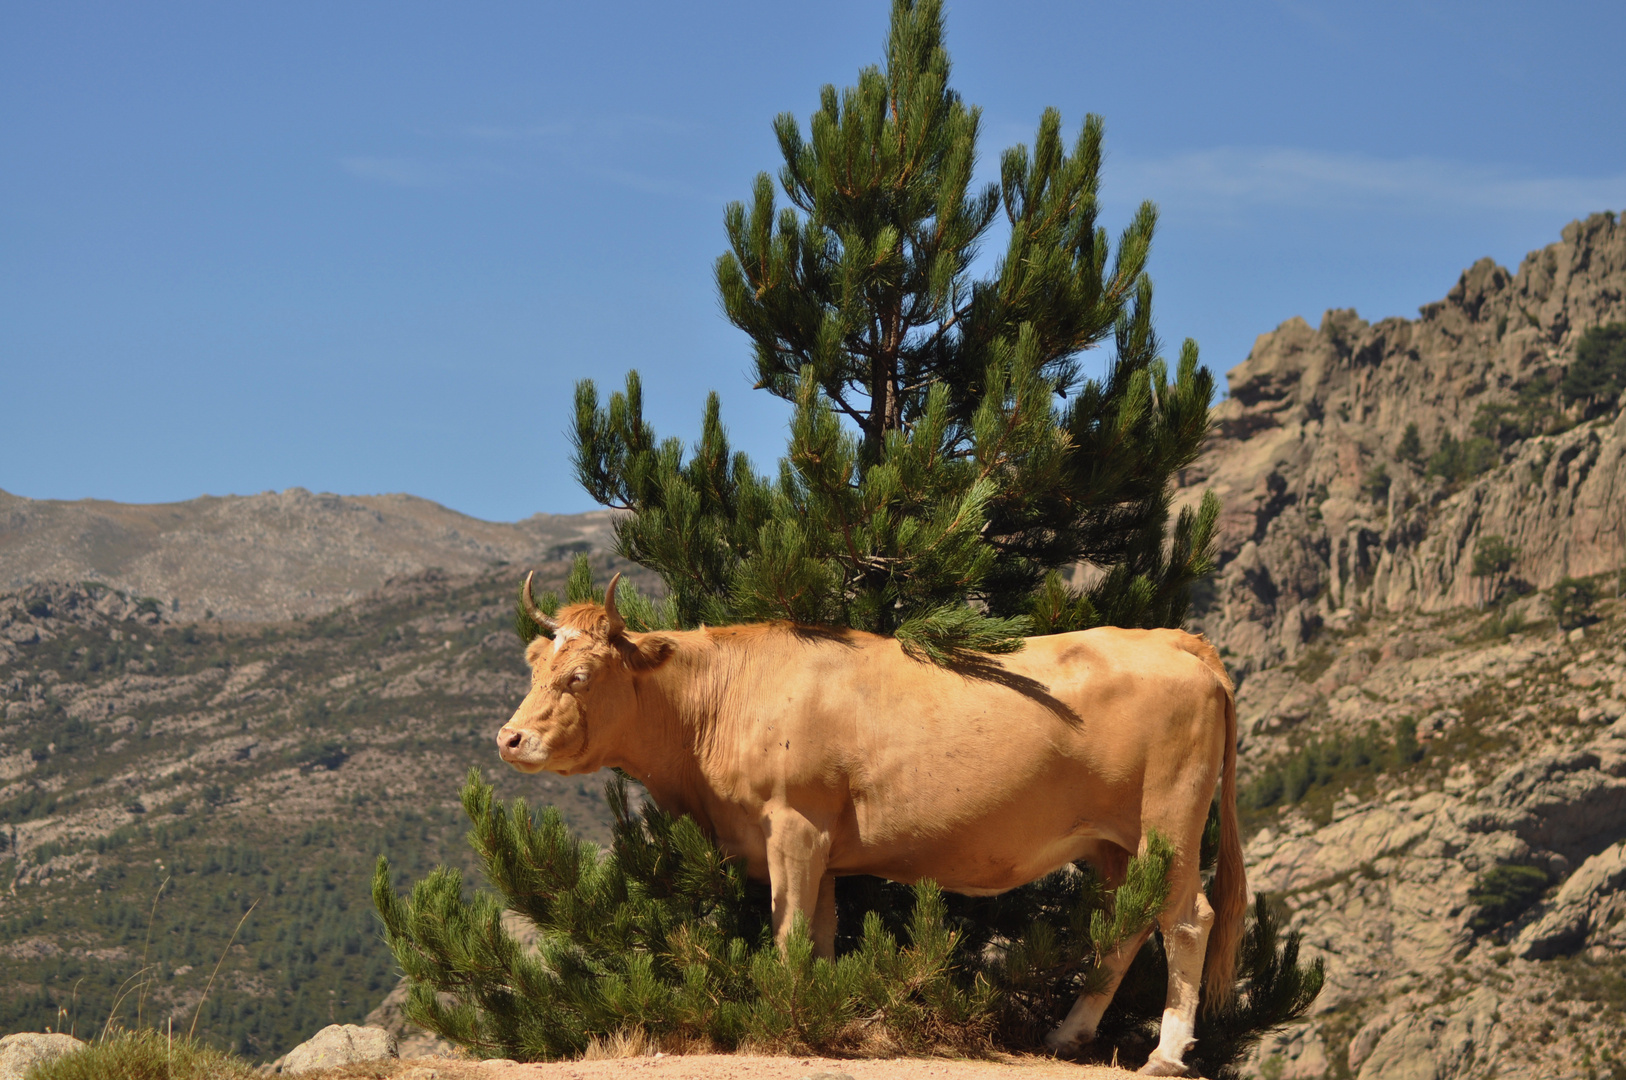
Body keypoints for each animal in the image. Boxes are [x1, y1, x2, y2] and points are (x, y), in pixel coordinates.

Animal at [494, 572, 1242, 1073]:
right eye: (533, 664)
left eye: (582, 675)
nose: (509, 738)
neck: (721, 700)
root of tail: (1172, 640)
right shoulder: (820, 846)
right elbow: (820, 937)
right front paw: (825, 1013)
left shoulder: (793, 825)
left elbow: (789, 933)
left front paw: (785, 1020)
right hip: (1115, 844)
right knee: (1126, 921)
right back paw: (1069, 1034)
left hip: (1169, 819)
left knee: (1187, 918)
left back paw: (1166, 1054)